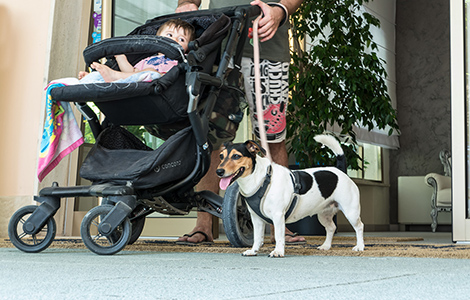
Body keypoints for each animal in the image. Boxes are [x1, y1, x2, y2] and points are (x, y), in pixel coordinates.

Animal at [215, 135, 366, 256]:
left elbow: (279, 236)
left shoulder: (278, 216)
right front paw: (253, 250)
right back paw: (326, 246)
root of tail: (340, 171)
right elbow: (257, 237)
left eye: (236, 156)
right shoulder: (256, 218)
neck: (262, 180)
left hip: (351, 212)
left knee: (359, 226)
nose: (219, 171)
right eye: (221, 156)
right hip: (324, 214)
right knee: (331, 228)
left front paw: (278, 251)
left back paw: (360, 246)